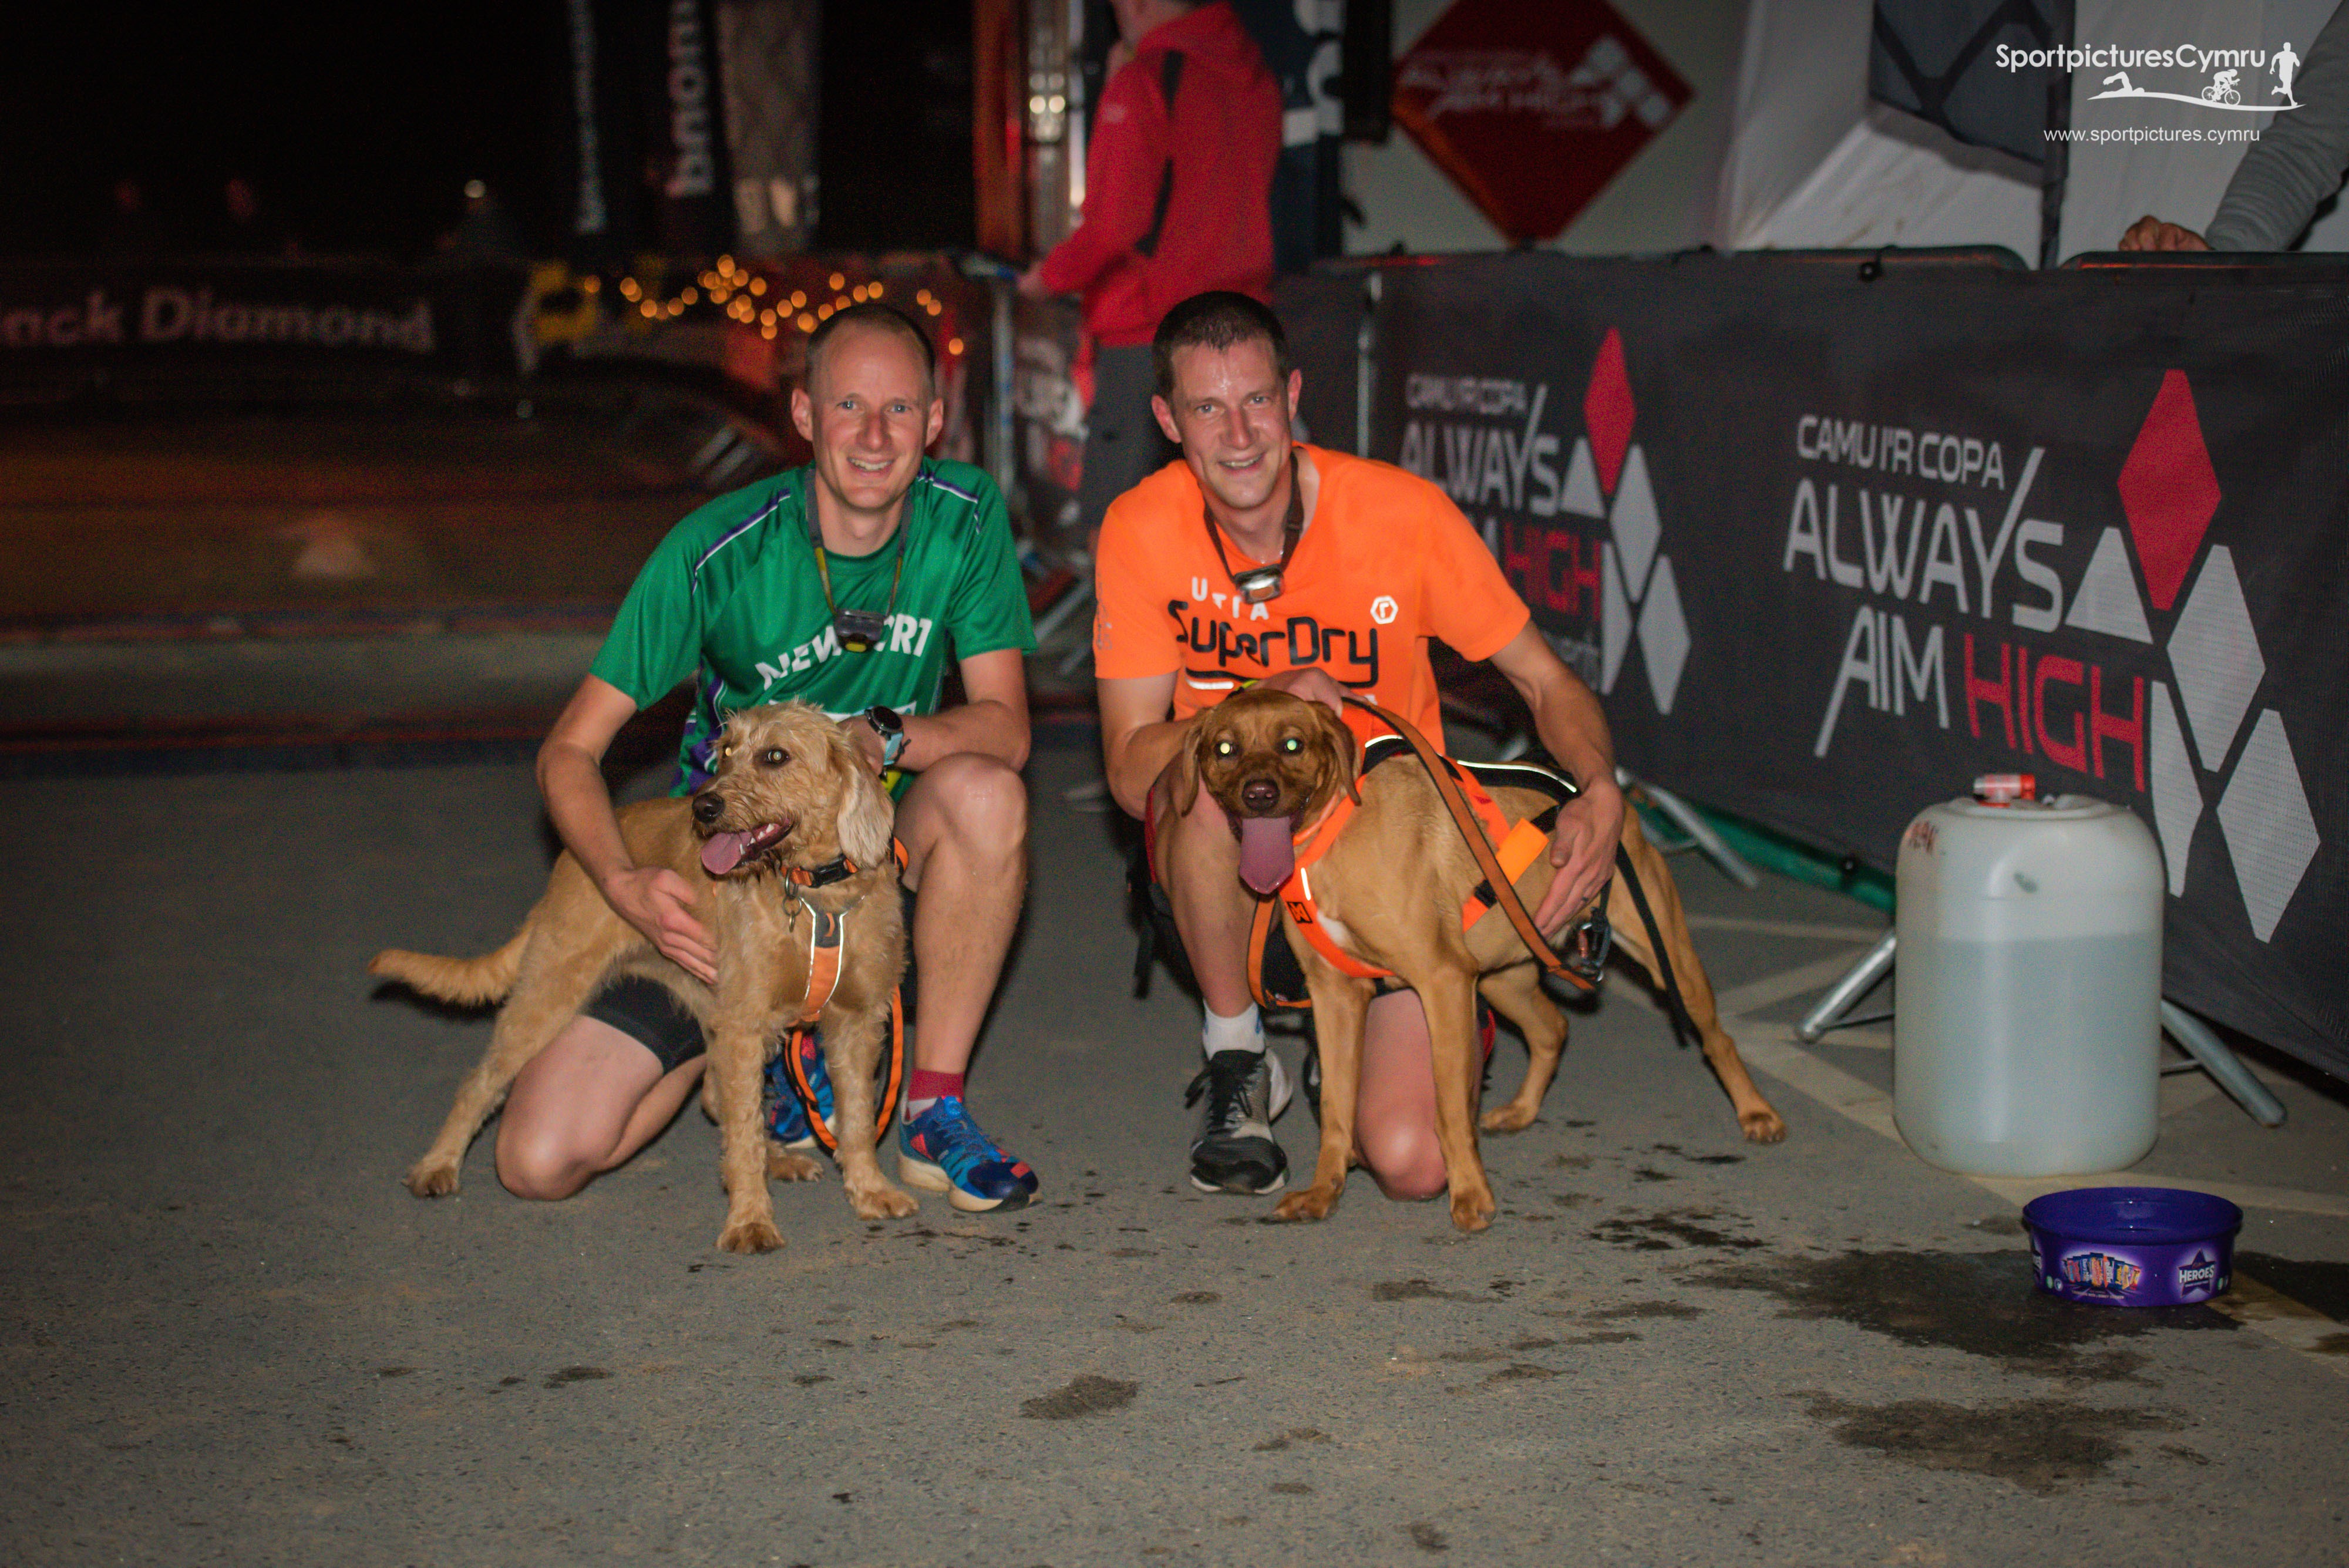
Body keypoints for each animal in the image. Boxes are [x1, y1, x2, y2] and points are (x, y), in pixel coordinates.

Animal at [371, 704, 911, 1258]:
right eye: (727, 750)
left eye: (776, 756)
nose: (704, 807)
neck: (813, 896)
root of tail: (571, 858)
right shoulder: (745, 1024)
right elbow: (745, 1135)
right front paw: (749, 1220)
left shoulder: (855, 1023)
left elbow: (856, 1120)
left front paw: (870, 1189)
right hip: (548, 994)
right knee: (479, 1084)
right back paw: (437, 1165)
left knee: (717, 1097)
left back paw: (777, 1159)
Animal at [1174, 690, 1776, 1230]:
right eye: (1225, 749)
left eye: (1293, 744)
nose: (1259, 794)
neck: (1332, 834)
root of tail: (1594, 789)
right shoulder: (1337, 997)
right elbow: (1337, 1111)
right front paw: (1325, 1192)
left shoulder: (1441, 983)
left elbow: (1447, 1109)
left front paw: (1469, 1194)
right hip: (1501, 977)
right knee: (1553, 1028)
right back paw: (1522, 1110)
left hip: (1664, 953)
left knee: (1717, 1038)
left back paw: (1757, 1114)